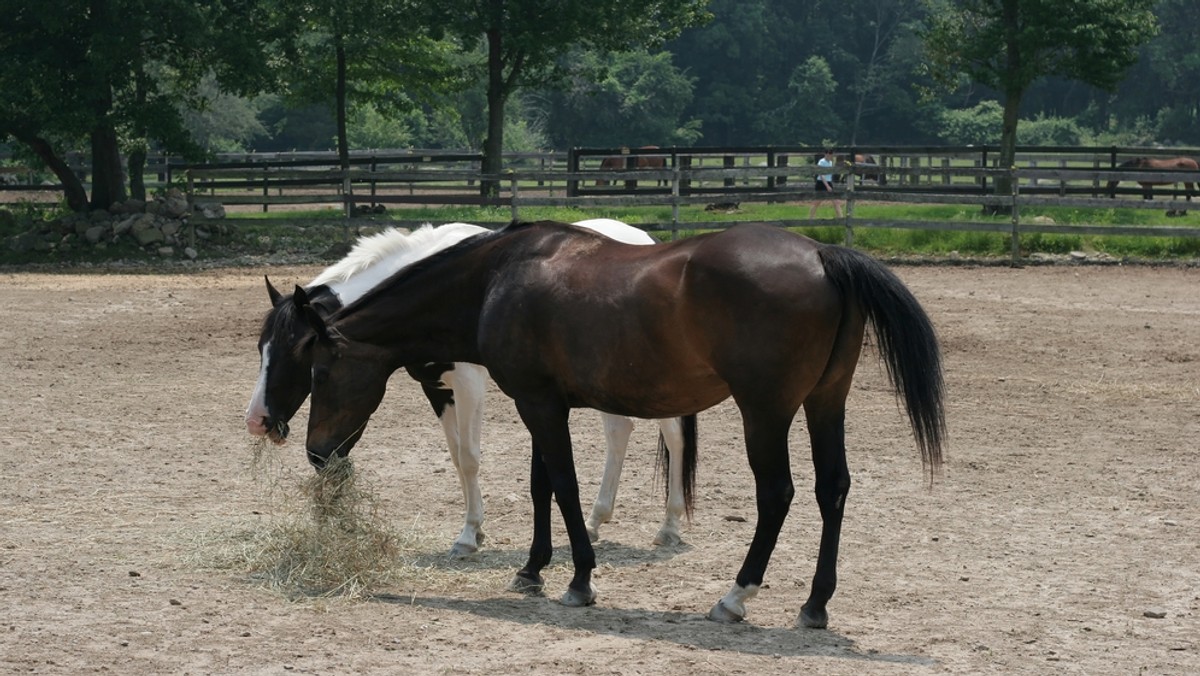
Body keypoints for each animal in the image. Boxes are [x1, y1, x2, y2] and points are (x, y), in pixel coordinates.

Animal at [248, 222, 700, 554]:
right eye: (260, 347)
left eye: (302, 355)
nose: (258, 420)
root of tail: (643, 238)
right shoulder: (436, 387)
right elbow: (455, 457)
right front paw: (473, 530)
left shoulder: (468, 383)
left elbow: (469, 457)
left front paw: (469, 536)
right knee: (619, 430)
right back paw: (594, 521)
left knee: (674, 437)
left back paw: (669, 526)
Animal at [295, 219, 940, 629]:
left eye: (319, 373)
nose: (317, 451)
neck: (495, 279)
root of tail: (823, 255)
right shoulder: (544, 403)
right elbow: (543, 486)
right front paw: (532, 569)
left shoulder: (537, 403)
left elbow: (564, 486)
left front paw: (579, 580)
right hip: (826, 403)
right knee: (833, 490)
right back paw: (815, 605)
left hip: (766, 411)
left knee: (777, 494)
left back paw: (736, 596)